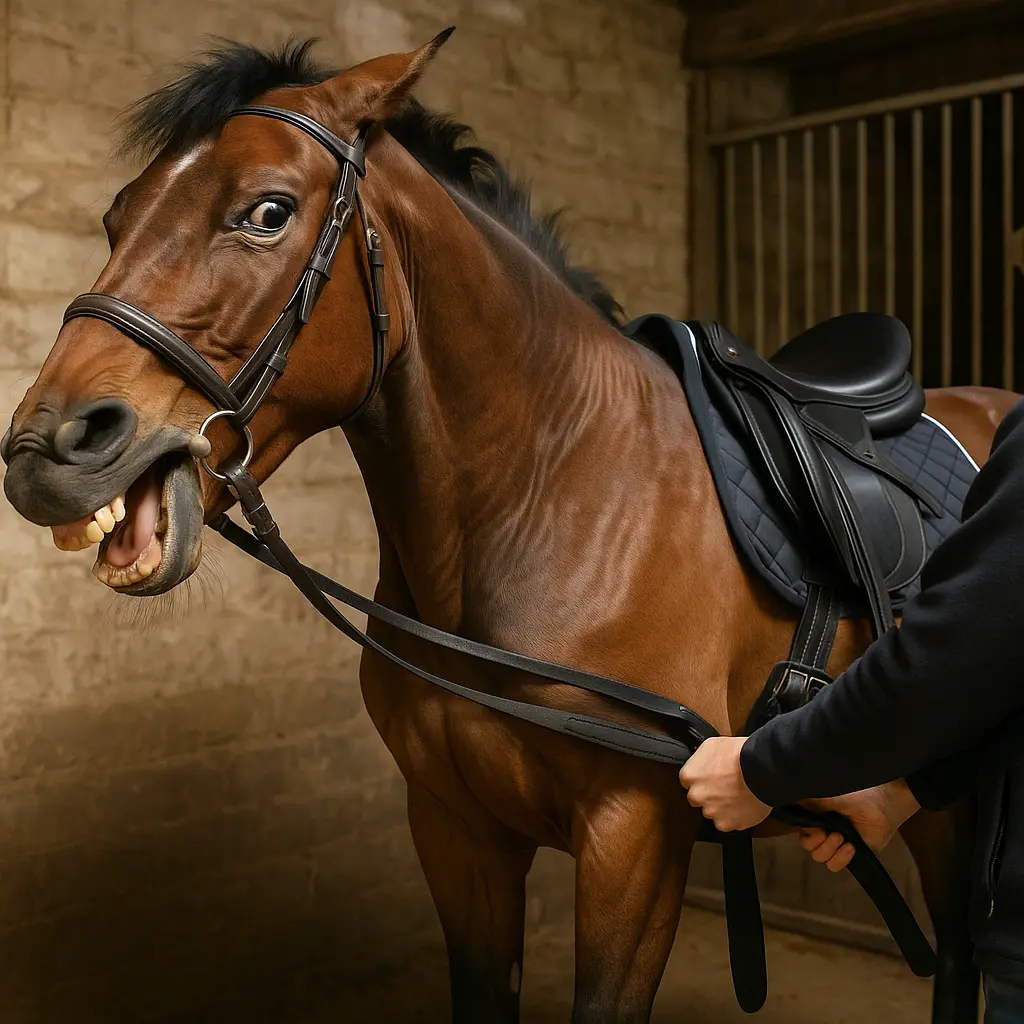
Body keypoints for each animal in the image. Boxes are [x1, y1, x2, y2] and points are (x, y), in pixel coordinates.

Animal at [2, 34, 1017, 1023]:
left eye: (267, 211)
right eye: (116, 220)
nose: (47, 447)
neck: (557, 496)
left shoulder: (633, 842)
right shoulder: (457, 832)